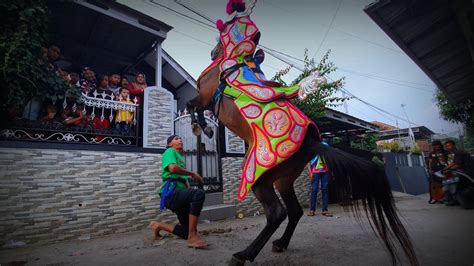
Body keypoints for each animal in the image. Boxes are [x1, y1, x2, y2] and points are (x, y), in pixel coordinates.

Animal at [186, 3, 418, 266]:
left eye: (219, 37)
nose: (213, 53)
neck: (233, 61)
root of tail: (312, 143)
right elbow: (192, 106)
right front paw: (203, 126)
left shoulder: (205, 97)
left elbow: (192, 105)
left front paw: (203, 127)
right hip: (284, 179)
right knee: (294, 211)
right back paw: (280, 244)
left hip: (260, 179)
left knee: (277, 213)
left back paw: (244, 255)